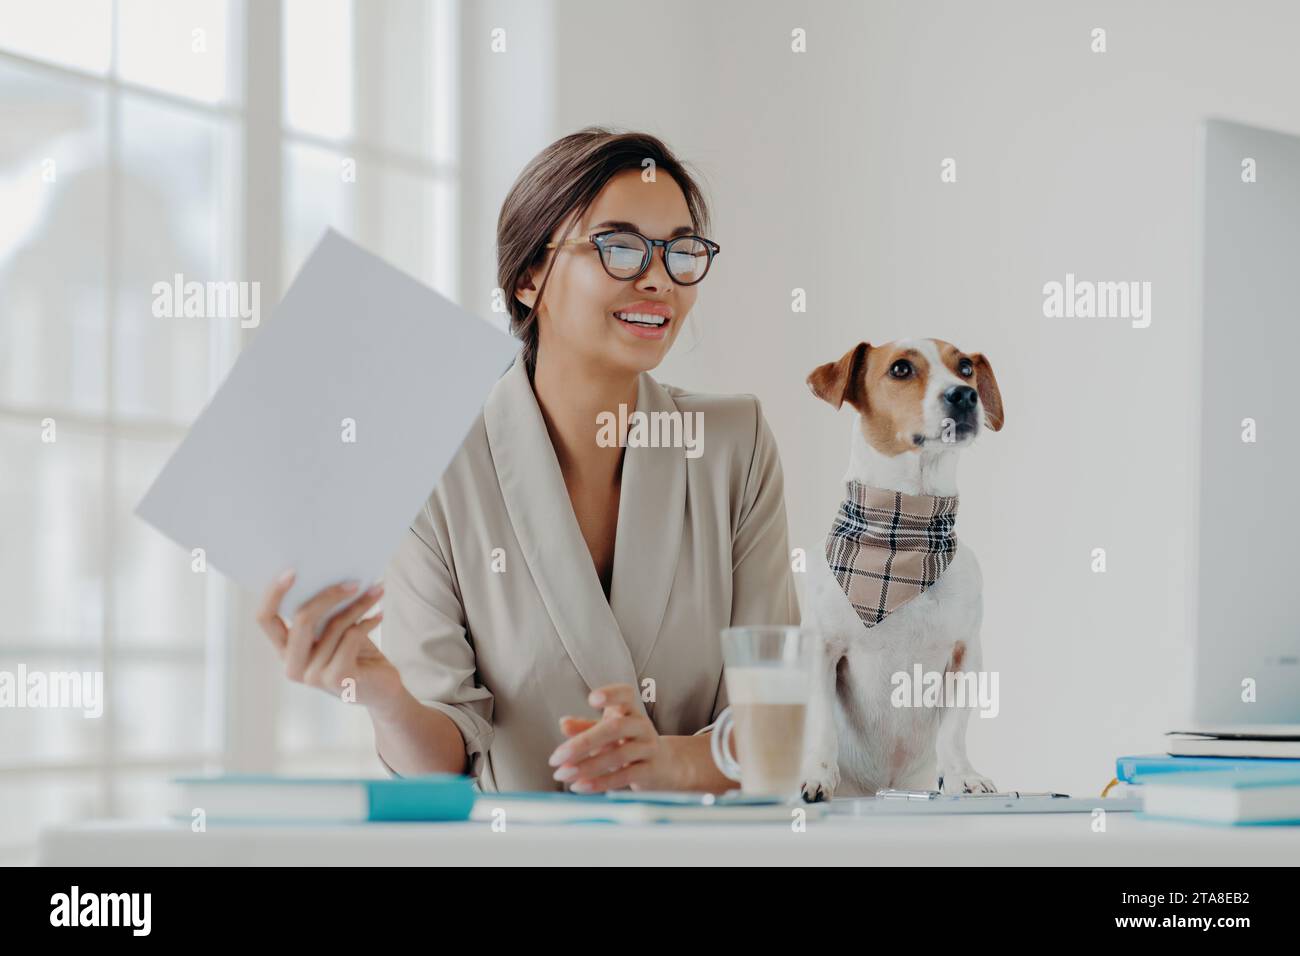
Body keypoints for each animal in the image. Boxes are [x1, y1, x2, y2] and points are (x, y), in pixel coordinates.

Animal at [800, 335, 1003, 801]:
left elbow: (953, 730)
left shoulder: (967, 652)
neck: (904, 529)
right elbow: (821, 724)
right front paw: (818, 774)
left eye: (965, 367)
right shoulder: (821, 648)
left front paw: (963, 774)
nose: (964, 395)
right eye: (900, 369)